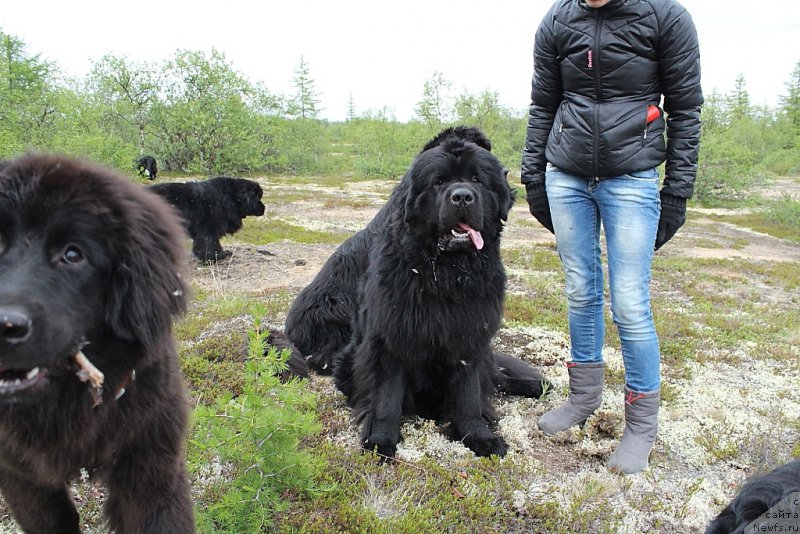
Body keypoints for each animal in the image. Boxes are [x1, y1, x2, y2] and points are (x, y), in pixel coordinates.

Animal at [284, 126, 552, 460]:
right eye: (439, 182)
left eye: (477, 179)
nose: (462, 196)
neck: (445, 275)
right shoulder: (388, 338)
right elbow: (386, 398)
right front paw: (380, 440)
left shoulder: (471, 339)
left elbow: (470, 397)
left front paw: (479, 437)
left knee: (494, 378)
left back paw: (534, 386)